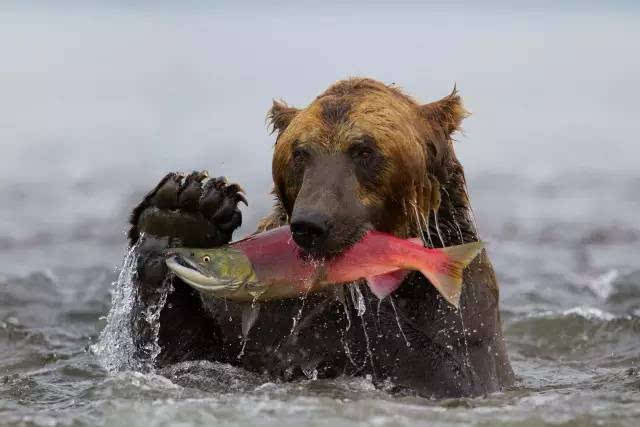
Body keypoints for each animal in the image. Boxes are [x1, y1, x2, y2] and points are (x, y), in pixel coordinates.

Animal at [129, 77, 516, 398]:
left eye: (364, 150)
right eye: (300, 152)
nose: (312, 223)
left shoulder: (462, 312)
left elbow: (451, 371)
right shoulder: (247, 322)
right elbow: (183, 355)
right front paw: (182, 213)